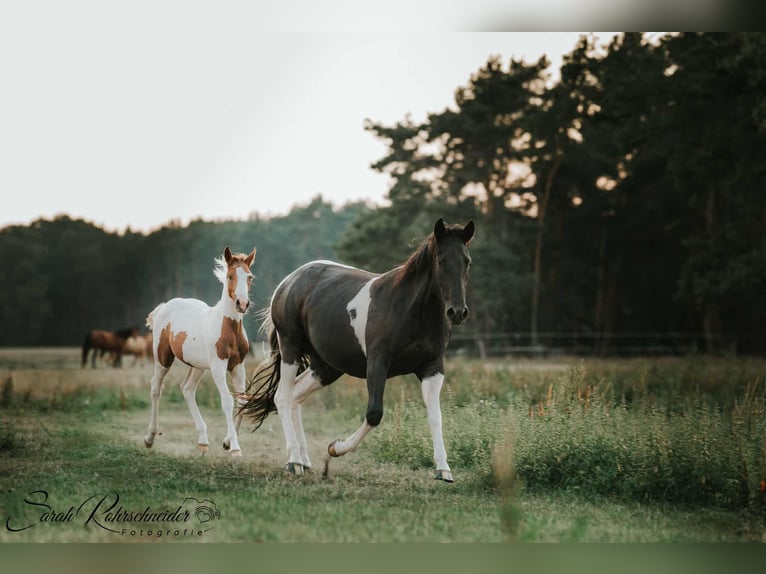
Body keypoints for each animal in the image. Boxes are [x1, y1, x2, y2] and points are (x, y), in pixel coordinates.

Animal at [143, 246, 256, 458]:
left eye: (249, 277)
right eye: (230, 276)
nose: (242, 303)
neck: (228, 328)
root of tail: (165, 306)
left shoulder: (238, 366)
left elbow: (243, 402)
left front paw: (227, 442)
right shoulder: (219, 366)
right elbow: (227, 402)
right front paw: (235, 448)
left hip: (198, 366)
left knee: (187, 389)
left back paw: (203, 440)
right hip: (163, 358)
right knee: (156, 388)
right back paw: (150, 438)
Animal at [241, 218, 474, 481]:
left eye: (467, 261)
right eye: (441, 260)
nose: (457, 312)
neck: (410, 309)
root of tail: (288, 282)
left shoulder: (432, 368)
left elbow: (436, 417)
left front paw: (443, 470)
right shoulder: (377, 364)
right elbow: (374, 414)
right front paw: (334, 448)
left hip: (326, 367)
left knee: (295, 395)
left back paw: (304, 459)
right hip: (291, 347)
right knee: (281, 396)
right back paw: (294, 461)